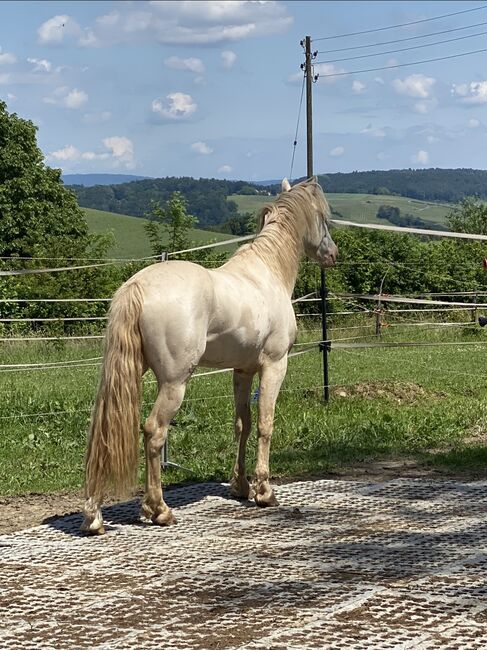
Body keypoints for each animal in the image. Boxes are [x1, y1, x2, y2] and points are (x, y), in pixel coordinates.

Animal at [82, 176, 338, 532]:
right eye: (323, 217)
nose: (333, 254)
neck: (268, 273)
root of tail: (137, 287)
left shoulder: (242, 370)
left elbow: (242, 424)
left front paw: (240, 486)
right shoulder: (274, 366)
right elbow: (265, 423)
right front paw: (264, 491)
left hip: (122, 376)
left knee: (103, 433)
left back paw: (94, 518)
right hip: (174, 383)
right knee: (154, 432)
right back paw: (158, 510)